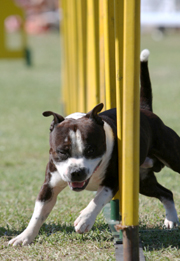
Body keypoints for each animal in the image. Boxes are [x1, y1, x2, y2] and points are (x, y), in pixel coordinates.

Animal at [9, 49, 179, 246]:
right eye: (61, 152)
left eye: (91, 150)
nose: (76, 172)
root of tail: (145, 110)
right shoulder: (48, 186)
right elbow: (38, 214)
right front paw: (24, 237)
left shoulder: (113, 180)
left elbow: (99, 198)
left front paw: (85, 220)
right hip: (143, 181)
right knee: (166, 193)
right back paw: (171, 220)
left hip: (170, 155)